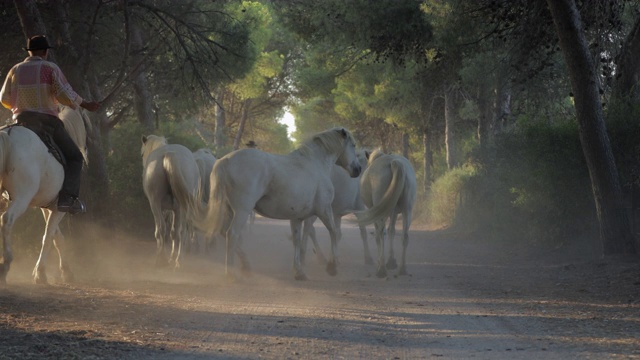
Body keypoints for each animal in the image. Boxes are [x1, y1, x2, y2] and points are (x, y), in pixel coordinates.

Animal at [0, 105, 88, 286]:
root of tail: (8, 135)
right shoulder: (60, 208)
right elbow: (48, 237)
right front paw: (40, 273)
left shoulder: (47, 207)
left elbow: (57, 237)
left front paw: (66, 272)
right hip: (21, 198)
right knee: (6, 220)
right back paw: (5, 265)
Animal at [141, 135, 199, 268]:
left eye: (141, 154)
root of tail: (170, 154)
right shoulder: (174, 209)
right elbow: (173, 232)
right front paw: (171, 257)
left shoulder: (160, 208)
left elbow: (159, 231)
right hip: (182, 207)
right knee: (180, 231)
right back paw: (178, 260)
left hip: (155, 204)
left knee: (162, 228)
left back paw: (162, 258)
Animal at [192, 128, 362, 280]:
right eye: (353, 145)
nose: (358, 169)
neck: (316, 164)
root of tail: (224, 161)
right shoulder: (324, 210)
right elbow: (334, 233)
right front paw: (332, 267)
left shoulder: (297, 217)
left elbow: (297, 240)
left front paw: (299, 272)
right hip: (241, 211)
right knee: (232, 234)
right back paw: (232, 274)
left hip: (228, 210)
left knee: (223, 232)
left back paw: (246, 266)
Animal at [358, 149, 418, 278]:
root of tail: (394, 163)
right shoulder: (394, 212)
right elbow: (392, 231)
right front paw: (391, 261)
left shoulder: (376, 211)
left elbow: (380, 234)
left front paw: (383, 262)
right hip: (407, 211)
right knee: (404, 236)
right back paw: (402, 269)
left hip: (381, 211)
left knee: (381, 233)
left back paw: (381, 269)